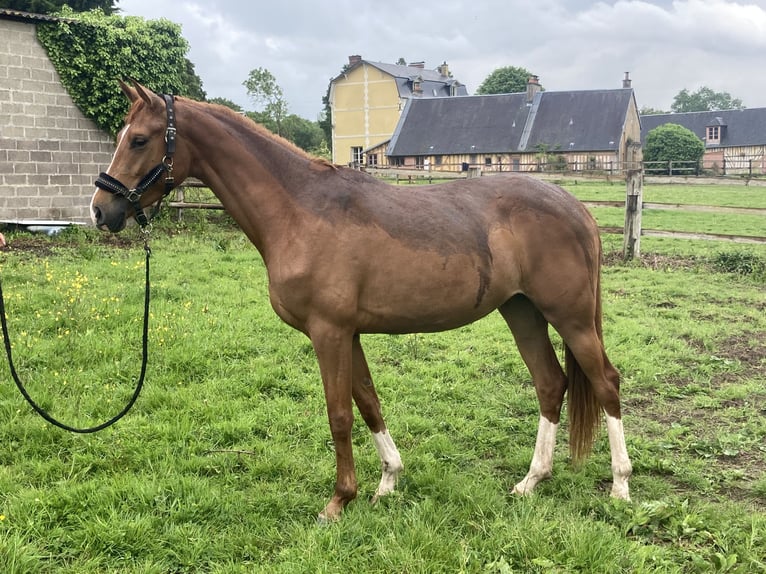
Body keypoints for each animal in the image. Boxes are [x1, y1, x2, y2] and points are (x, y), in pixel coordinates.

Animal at [90, 81, 632, 520]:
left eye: (139, 139)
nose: (100, 209)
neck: (299, 210)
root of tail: (576, 207)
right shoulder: (348, 334)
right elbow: (368, 401)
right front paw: (387, 480)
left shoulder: (329, 332)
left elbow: (339, 414)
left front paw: (338, 500)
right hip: (522, 311)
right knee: (550, 384)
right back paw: (530, 481)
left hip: (571, 317)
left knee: (605, 382)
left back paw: (621, 487)